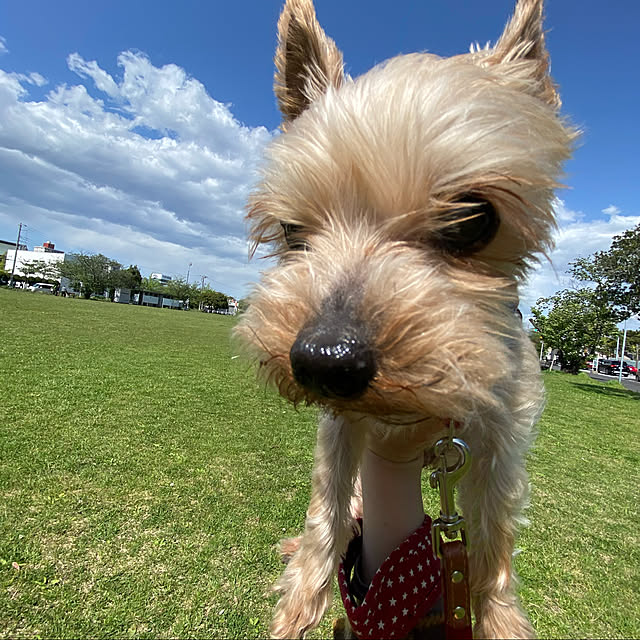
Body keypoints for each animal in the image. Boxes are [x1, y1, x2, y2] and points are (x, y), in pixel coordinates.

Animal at [235, 2, 576, 636]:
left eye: (472, 220)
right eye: (292, 231)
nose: (323, 362)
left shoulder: (505, 433)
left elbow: (494, 533)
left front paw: (498, 616)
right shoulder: (343, 425)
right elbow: (328, 499)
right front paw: (301, 597)